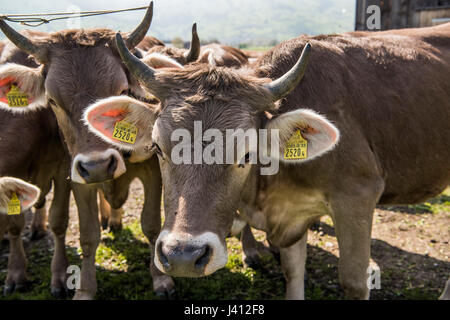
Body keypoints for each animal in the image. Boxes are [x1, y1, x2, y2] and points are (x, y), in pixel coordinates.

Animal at [86, 23, 448, 300]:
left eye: (247, 153)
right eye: (159, 148)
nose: (184, 256)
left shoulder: (357, 196)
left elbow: (354, 281)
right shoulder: (292, 216)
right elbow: (293, 270)